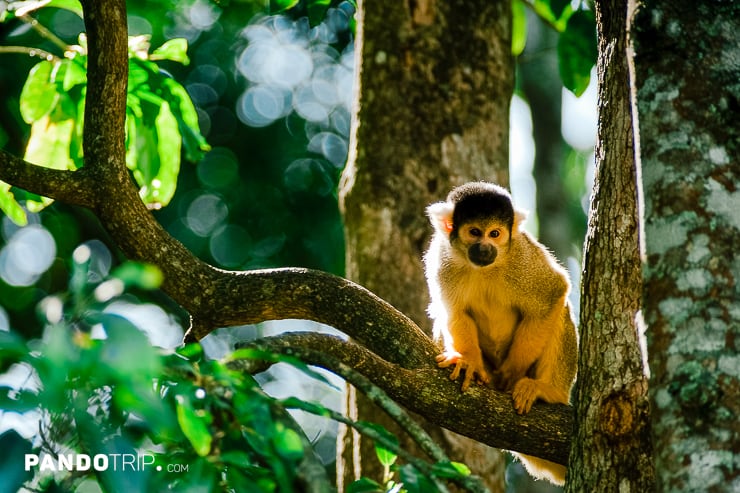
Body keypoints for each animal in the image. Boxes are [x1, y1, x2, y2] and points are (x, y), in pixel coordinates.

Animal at [422, 182, 580, 484]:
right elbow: (453, 312)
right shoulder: (442, 260)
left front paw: (513, 371)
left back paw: (548, 391)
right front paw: (469, 362)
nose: (485, 248)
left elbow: (553, 293)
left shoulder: (521, 255)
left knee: (559, 310)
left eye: (495, 234)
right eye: (474, 232)